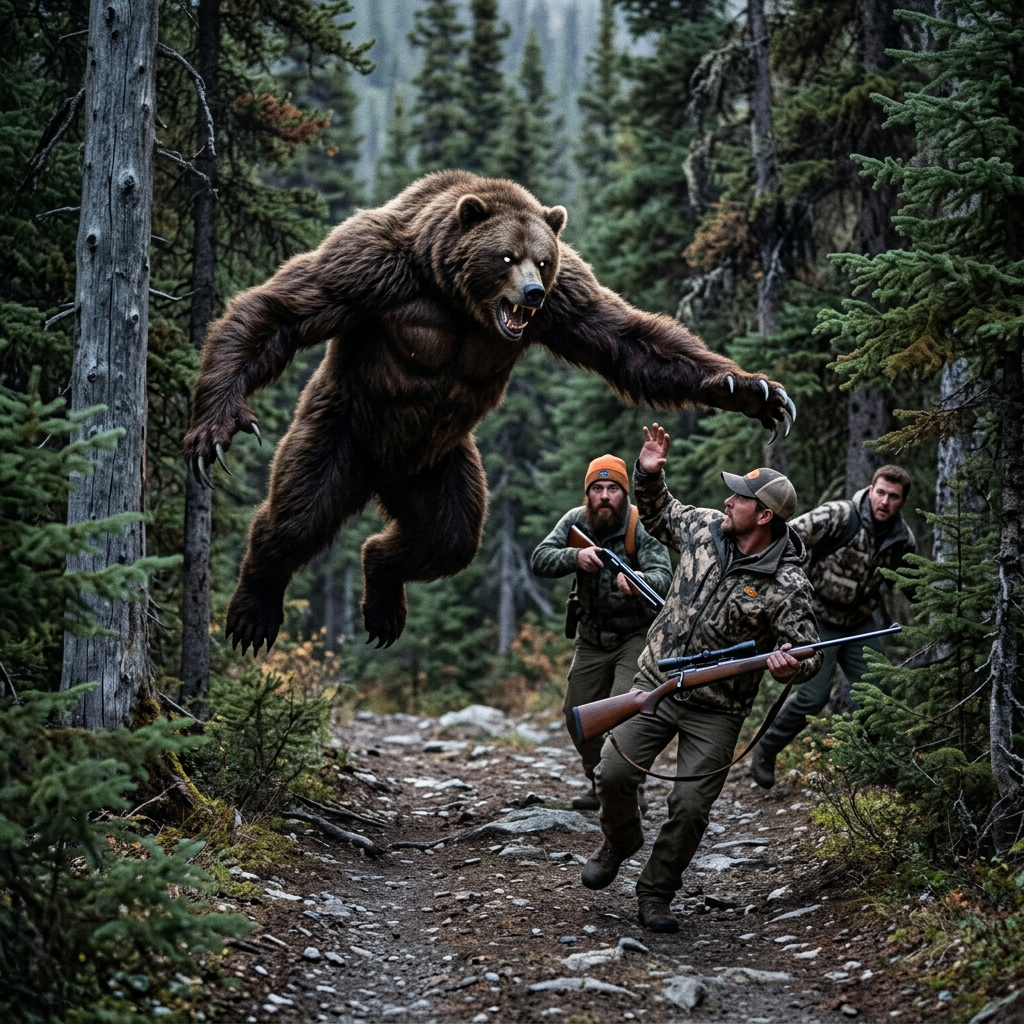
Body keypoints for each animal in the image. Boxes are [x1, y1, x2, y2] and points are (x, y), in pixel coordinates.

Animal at [182, 171, 795, 654]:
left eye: (541, 259)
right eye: (505, 255)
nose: (530, 292)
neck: (454, 294)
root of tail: (382, 475)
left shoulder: (567, 297)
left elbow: (628, 340)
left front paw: (754, 390)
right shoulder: (372, 266)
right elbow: (284, 306)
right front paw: (214, 426)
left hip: (439, 462)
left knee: (448, 535)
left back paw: (383, 590)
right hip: (345, 427)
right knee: (300, 511)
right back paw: (253, 610)